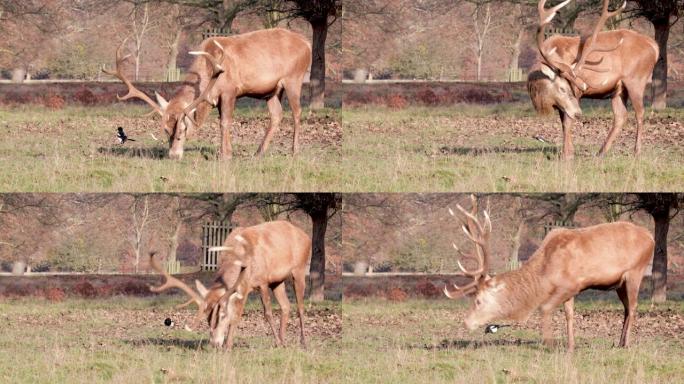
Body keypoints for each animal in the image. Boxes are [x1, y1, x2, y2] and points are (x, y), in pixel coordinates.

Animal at [103, 28, 310, 160]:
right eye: (165, 130)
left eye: (183, 129)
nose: (173, 156)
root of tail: (307, 43)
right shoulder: (217, 98)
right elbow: (222, 121)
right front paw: (227, 152)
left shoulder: (230, 90)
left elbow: (225, 122)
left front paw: (225, 155)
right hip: (271, 90)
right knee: (277, 114)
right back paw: (258, 153)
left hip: (294, 78)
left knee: (297, 112)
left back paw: (295, 152)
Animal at [150, 220, 312, 350]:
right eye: (207, 317)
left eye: (222, 315)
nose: (214, 344)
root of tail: (306, 235)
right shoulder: (245, 287)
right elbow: (238, 313)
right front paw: (229, 345)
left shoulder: (262, 281)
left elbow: (265, 313)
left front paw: (229, 345)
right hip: (277, 281)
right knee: (286, 306)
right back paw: (284, 341)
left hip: (299, 269)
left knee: (300, 307)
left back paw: (302, 342)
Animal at [446, 196, 656, 350]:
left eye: (478, 300)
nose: (466, 323)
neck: (546, 275)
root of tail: (651, 238)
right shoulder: (570, 290)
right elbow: (569, 314)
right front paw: (571, 346)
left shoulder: (571, 284)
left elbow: (545, 308)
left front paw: (550, 345)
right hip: (619, 283)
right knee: (627, 308)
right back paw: (619, 342)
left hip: (636, 271)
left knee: (634, 306)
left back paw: (626, 344)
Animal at [528, 0, 660, 159]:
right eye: (562, 88)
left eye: (571, 87)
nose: (579, 113)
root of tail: (655, 47)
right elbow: (563, 121)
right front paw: (569, 151)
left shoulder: (578, 92)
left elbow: (567, 122)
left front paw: (566, 154)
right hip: (619, 88)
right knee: (621, 116)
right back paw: (601, 152)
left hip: (636, 80)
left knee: (640, 113)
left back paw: (637, 152)